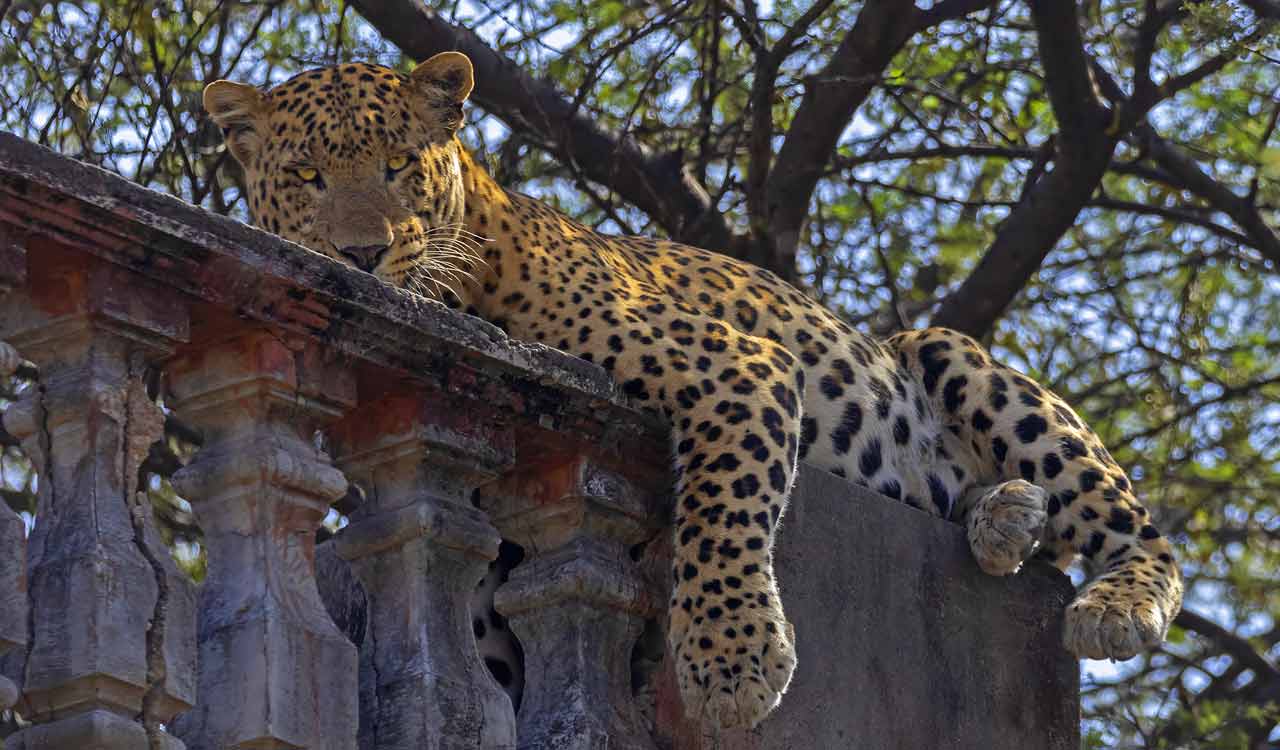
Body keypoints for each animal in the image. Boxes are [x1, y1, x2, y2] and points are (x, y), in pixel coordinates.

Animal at [203, 52, 1184, 730]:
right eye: (305, 178)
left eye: (401, 165)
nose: (362, 255)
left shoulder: (735, 365)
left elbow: (725, 505)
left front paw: (733, 661)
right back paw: (1004, 516)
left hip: (954, 356)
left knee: (1136, 528)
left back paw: (1109, 600)